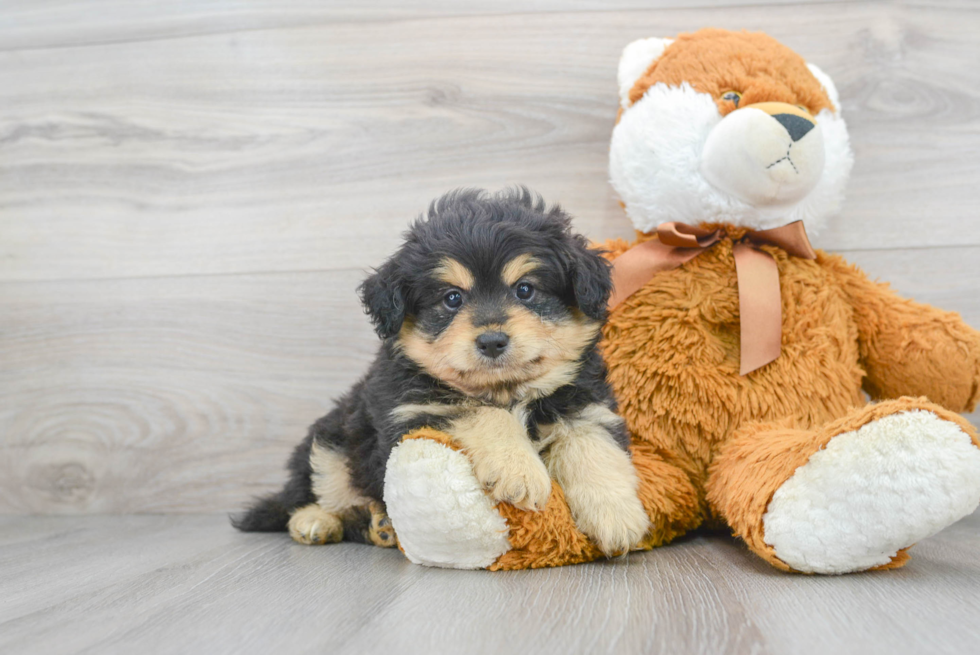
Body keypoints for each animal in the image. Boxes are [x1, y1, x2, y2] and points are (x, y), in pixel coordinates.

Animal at [232, 187, 652, 556]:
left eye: (525, 290)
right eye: (452, 298)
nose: (492, 341)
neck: (506, 390)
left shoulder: (585, 406)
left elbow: (594, 450)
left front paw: (618, 516)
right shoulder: (418, 411)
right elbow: (483, 412)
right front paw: (519, 470)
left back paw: (377, 527)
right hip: (329, 443)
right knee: (312, 495)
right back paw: (321, 522)